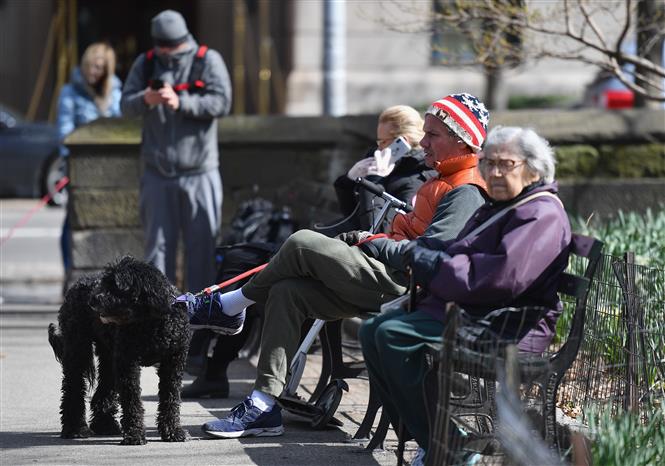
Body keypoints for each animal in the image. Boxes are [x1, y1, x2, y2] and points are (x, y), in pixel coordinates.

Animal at [47, 256, 189, 446]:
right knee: (73, 387)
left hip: (108, 357)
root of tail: (77, 283)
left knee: (104, 390)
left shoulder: (173, 362)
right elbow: (132, 400)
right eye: (104, 283)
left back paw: (104, 424)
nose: (93, 300)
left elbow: (171, 398)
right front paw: (135, 434)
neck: (149, 323)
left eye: (116, 285)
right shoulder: (128, 363)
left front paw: (172, 431)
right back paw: (75, 428)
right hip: (78, 349)